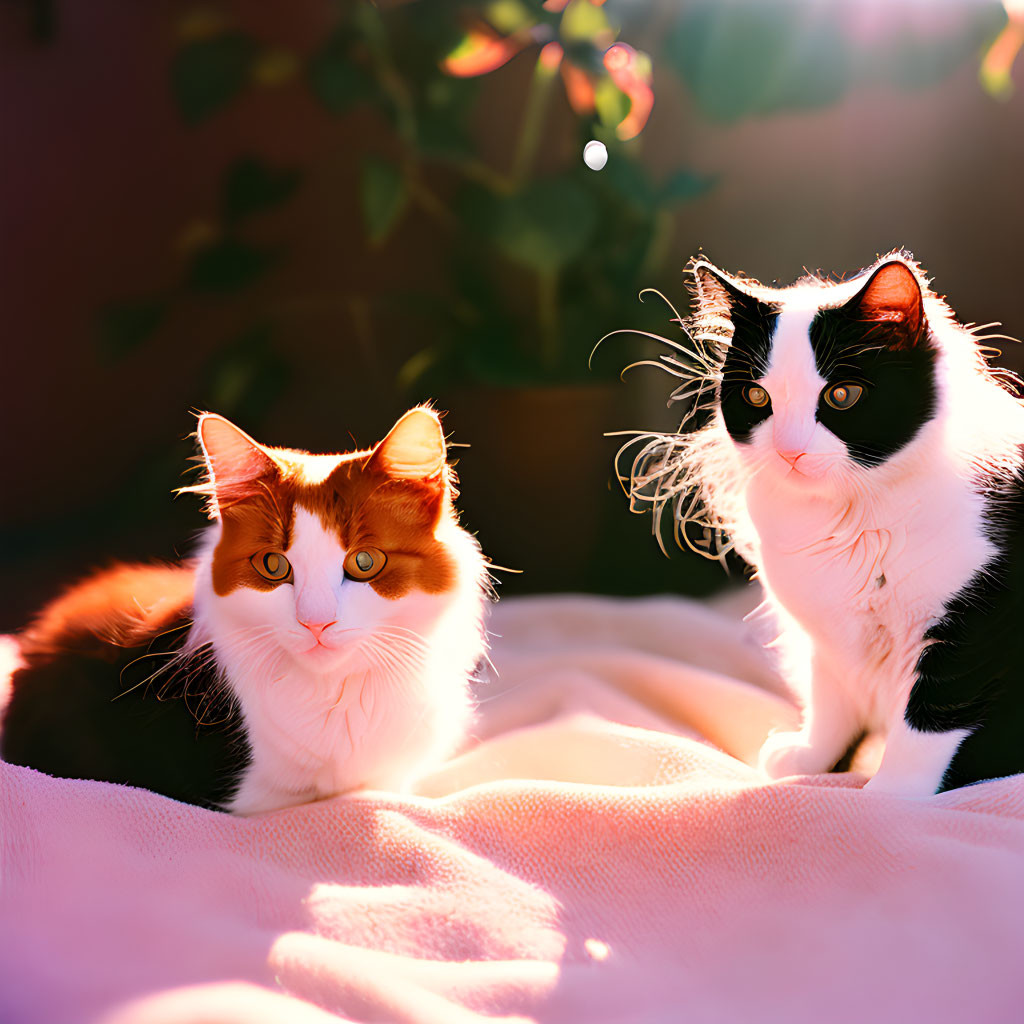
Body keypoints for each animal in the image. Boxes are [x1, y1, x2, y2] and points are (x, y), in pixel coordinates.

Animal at [622, 251, 1024, 794]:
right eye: (756, 398)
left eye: (842, 396)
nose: (789, 449)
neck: (854, 517)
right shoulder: (829, 639)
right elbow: (832, 701)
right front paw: (811, 760)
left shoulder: (970, 630)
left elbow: (928, 722)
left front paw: (889, 795)